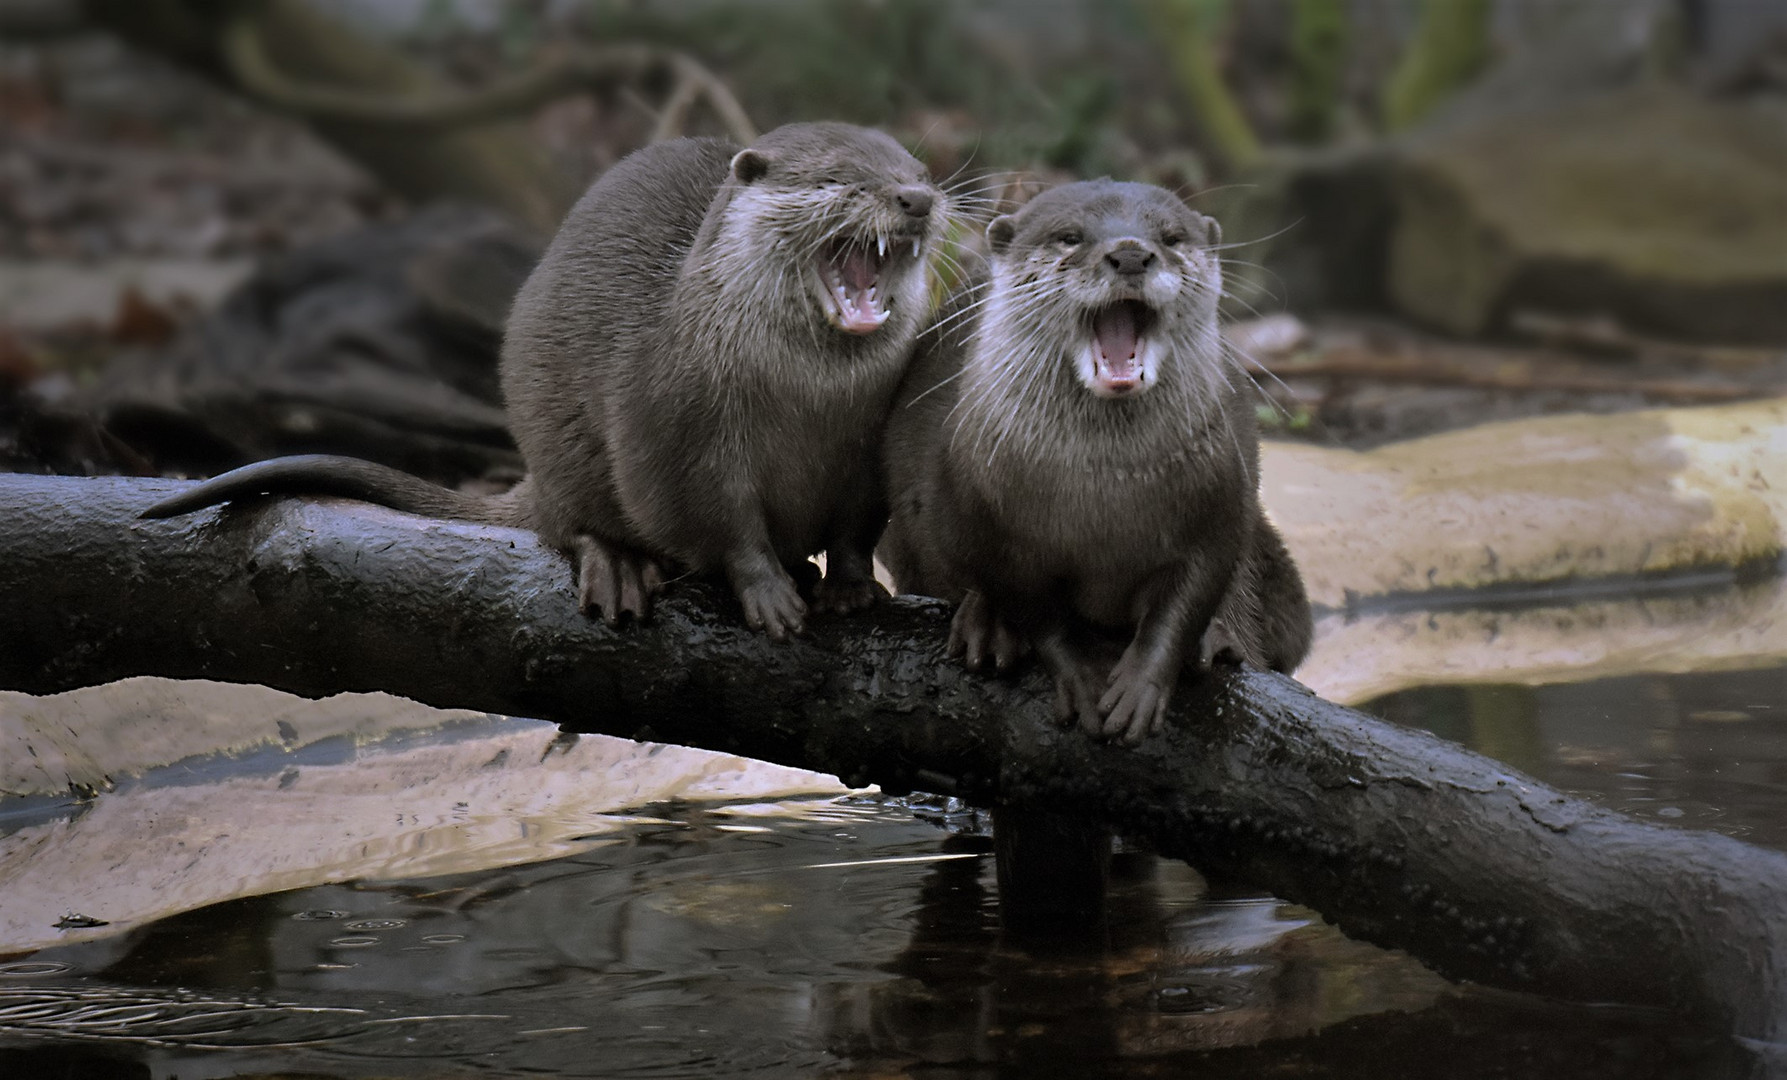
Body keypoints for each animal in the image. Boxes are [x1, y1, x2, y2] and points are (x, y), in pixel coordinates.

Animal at [141, 123, 950, 640]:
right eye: (836, 180)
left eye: (918, 175)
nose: (916, 200)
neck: (806, 405)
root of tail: (535, 473)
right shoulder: (677, 429)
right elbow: (718, 522)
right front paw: (769, 593)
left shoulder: (867, 450)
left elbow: (857, 525)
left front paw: (848, 585)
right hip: (556, 439)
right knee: (569, 523)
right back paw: (619, 567)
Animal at [879, 181, 1315, 747]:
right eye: (1069, 237)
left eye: (1171, 237)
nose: (1131, 253)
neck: (1106, 494)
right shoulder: (994, 528)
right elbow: (1033, 607)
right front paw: (1080, 673)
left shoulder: (1219, 506)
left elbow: (1190, 594)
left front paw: (1145, 681)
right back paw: (985, 626)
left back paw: (1217, 639)